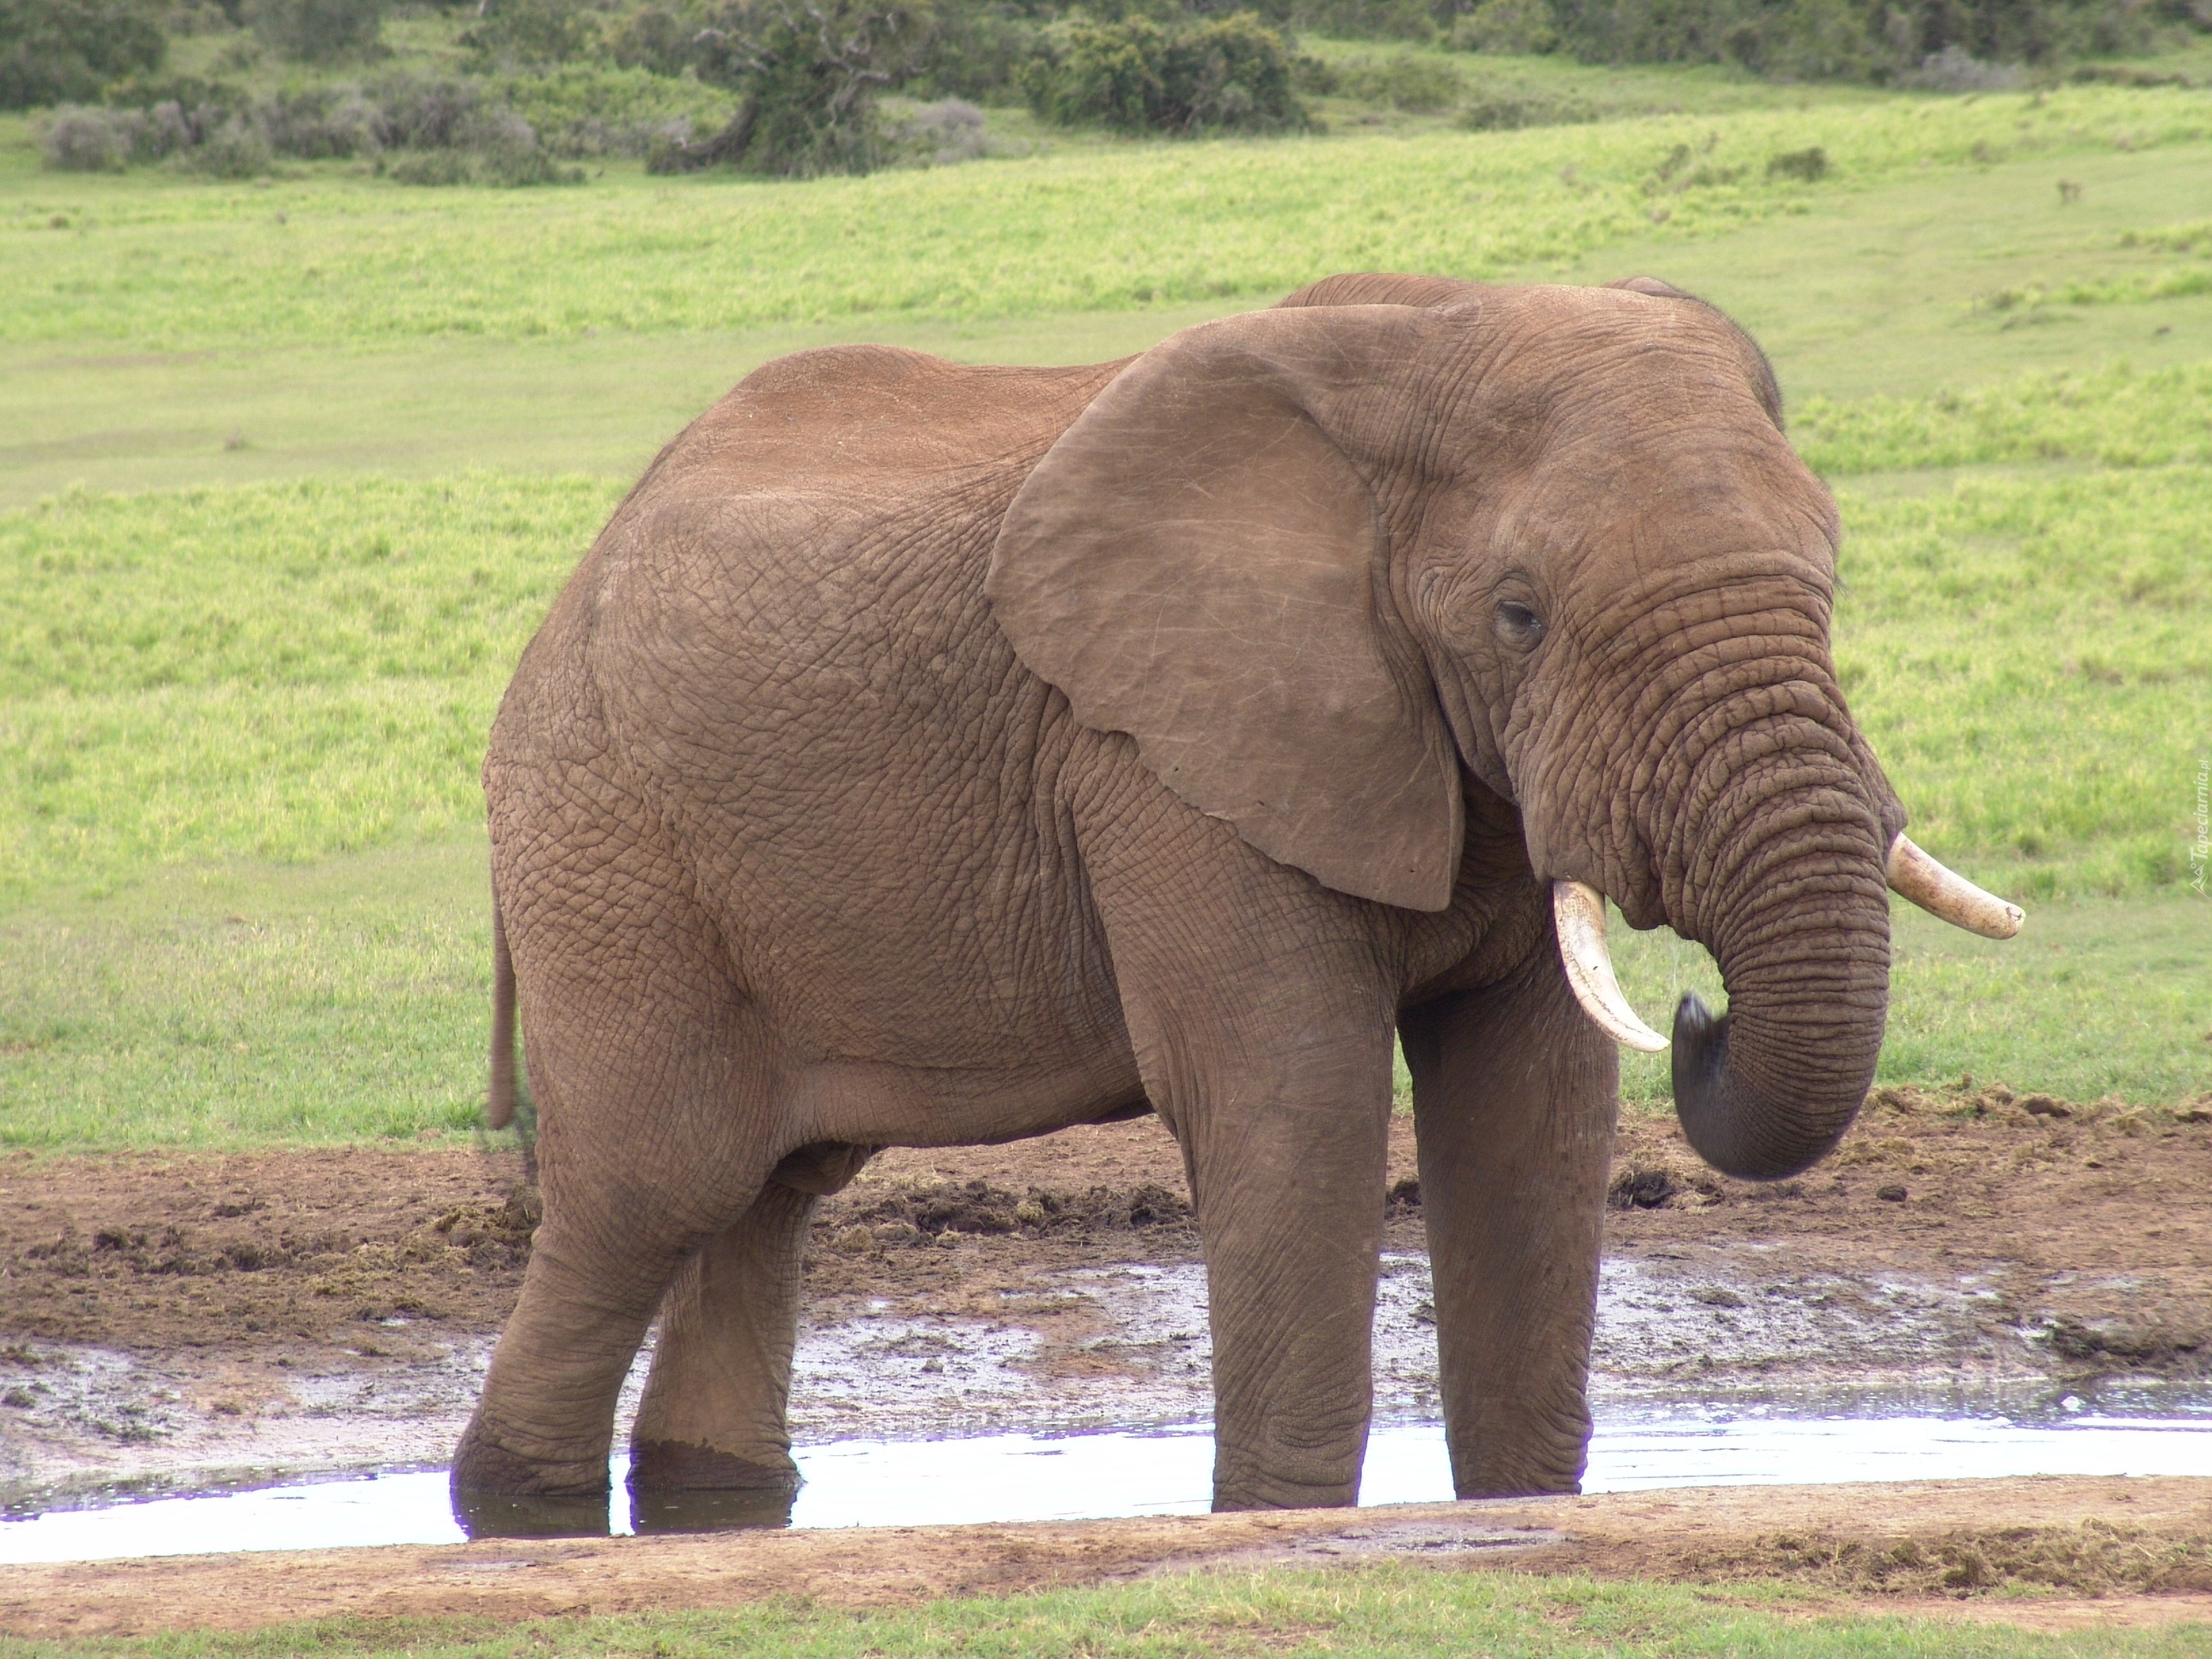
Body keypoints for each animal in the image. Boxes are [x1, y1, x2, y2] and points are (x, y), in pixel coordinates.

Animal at [457, 273, 2026, 1530]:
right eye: (1518, 615)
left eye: (1830, 573)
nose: (1701, 1013)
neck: (1418, 346)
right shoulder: (1166, 758)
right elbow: (1291, 1096)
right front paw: (1282, 1516)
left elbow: (1529, 1107)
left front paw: (1519, 1507)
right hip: (606, 837)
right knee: (657, 1184)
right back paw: (513, 1502)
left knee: (769, 1196)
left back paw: (704, 1499)